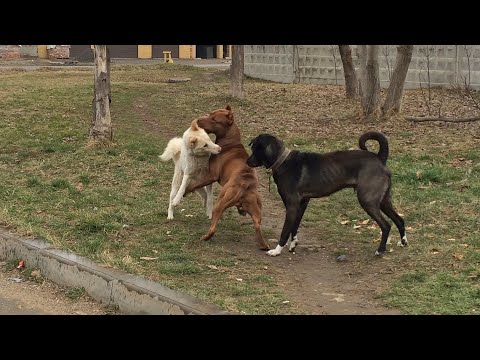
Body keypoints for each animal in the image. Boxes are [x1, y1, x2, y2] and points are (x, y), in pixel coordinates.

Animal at [184, 104, 270, 250]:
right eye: (210, 114)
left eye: (214, 119)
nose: (199, 120)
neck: (230, 141)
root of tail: (244, 185)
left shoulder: (211, 175)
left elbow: (195, 184)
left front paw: (185, 191)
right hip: (256, 208)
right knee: (257, 224)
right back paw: (263, 245)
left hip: (220, 203)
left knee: (213, 227)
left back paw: (205, 237)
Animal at [246, 132, 406, 256]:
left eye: (255, 149)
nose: (247, 161)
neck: (283, 161)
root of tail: (379, 158)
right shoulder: (302, 204)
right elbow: (295, 226)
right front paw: (293, 244)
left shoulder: (291, 205)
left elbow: (285, 230)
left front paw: (277, 250)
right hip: (383, 201)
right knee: (399, 220)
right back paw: (403, 242)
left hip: (368, 200)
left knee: (386, 225)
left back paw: (380, 250)